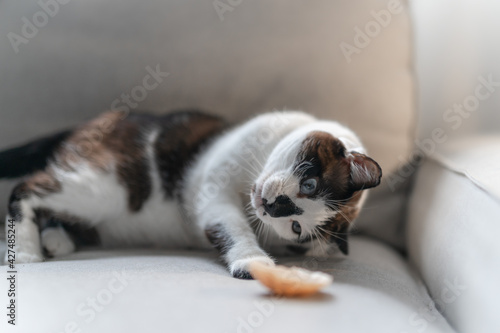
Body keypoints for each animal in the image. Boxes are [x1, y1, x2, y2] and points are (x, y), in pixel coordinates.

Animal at [0, 109, 382, 278]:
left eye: (296, 228)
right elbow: (233, 227)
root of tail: (95, 121)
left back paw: (56, 240)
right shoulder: (214, 191)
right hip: (105, 188)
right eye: (309, 185)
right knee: (27, 187)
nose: (274, 206)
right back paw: (27, 252)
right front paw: (252, 261)